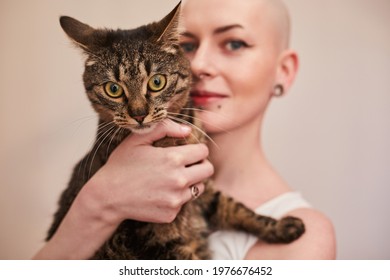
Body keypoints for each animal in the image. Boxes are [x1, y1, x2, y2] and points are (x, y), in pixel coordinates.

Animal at [48, 2, 304, 260]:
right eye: (113, 89)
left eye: (157, 82)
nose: (139, 114)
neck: (173, 141)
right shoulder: (154, 235)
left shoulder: (205, 187)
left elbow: (234, 207)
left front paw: (282, 226)